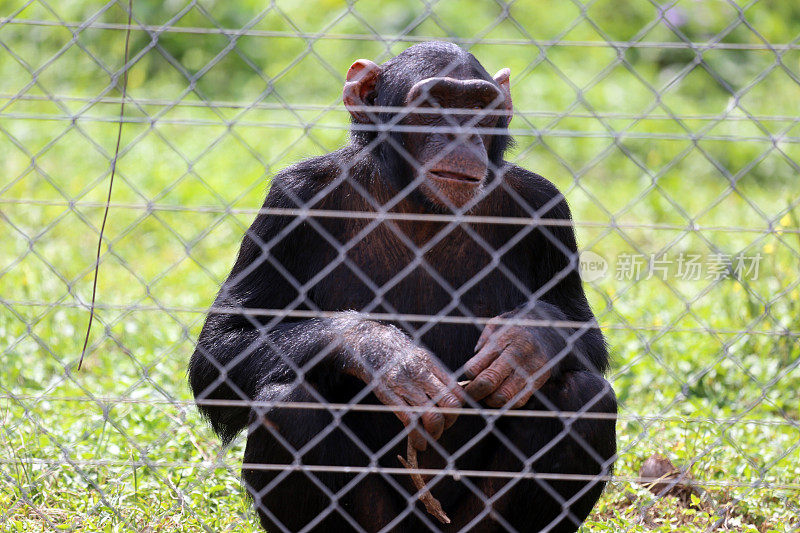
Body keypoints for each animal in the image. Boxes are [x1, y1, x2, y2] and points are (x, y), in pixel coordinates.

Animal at [189, 42, 620, 532]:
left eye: (478, 107)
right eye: (435, 105)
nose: (462, 135)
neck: (419, 203)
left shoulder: (546, 207)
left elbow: (581, 328)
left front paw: (527, 343)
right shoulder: (290, 200)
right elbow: (221, 349)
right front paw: (386, 355)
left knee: (582, 398)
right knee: (289, 402)